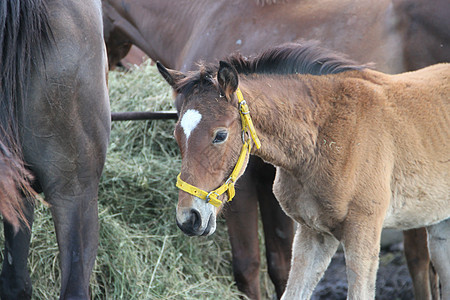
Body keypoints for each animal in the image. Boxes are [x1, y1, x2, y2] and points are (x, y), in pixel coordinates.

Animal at [103, 0, 450, 298]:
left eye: (219, 135)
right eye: (177, 134)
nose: (189, 218)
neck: (325, 136)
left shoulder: (361, 232)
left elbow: (249, 266)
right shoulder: (312, 232)